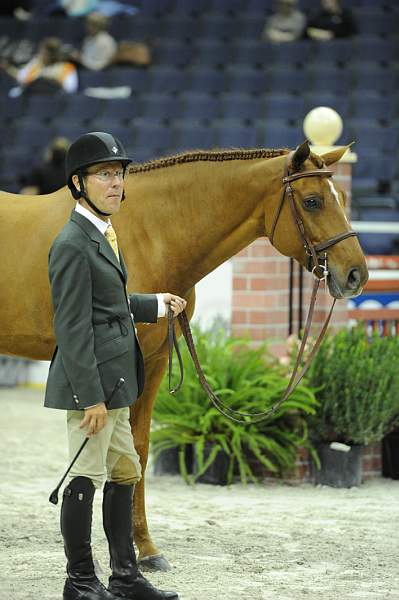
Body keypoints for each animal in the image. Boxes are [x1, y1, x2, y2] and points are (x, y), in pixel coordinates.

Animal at [0, 142, 368, 572]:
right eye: (312, 201)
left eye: (342, 199)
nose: (356, 275)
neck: (150, 232)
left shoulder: (155, 361)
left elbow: (138, 451)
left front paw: (145, 549)